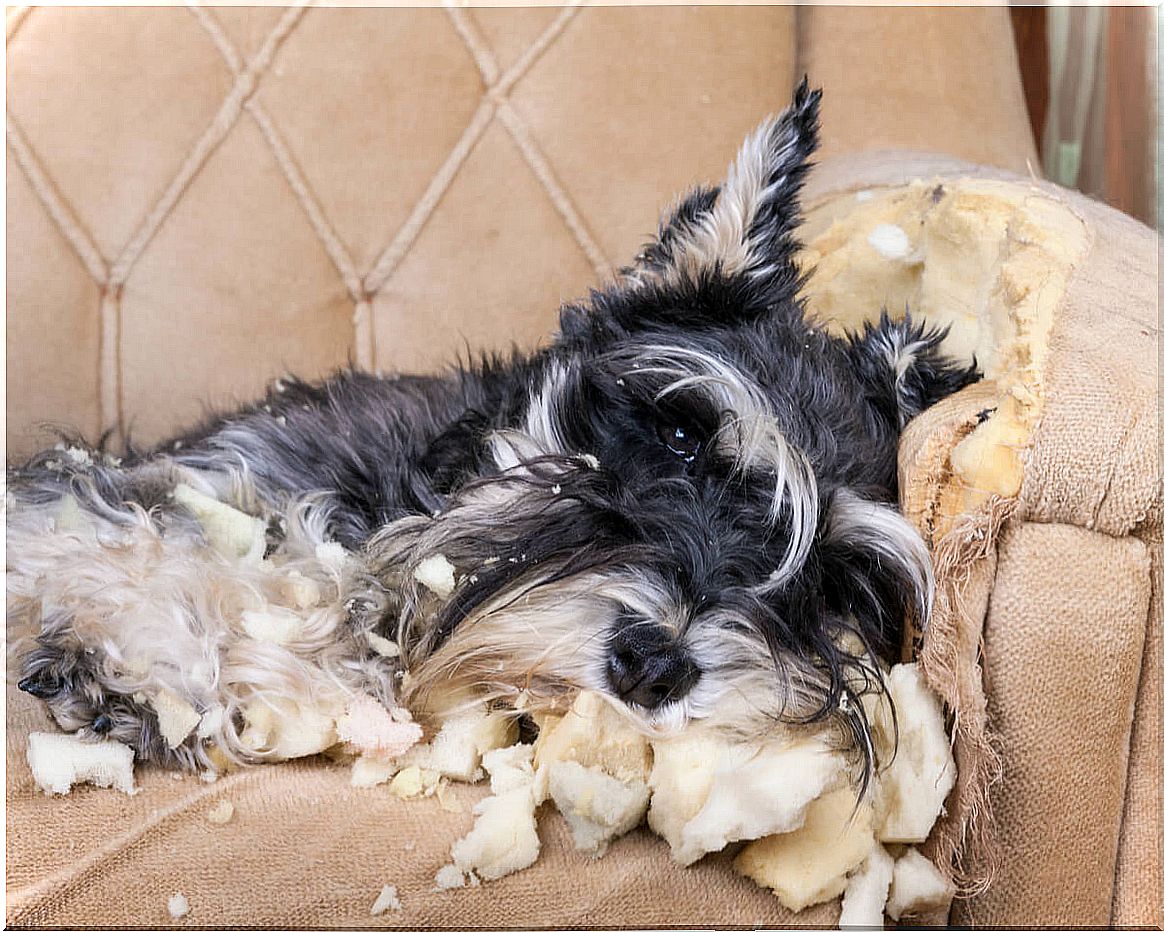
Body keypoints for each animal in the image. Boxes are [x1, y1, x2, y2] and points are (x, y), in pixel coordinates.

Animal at [6, 83, 973, 786]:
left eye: (837, 577)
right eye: (679, 432)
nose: (653, 665)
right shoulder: (205, 475)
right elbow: (157, 539)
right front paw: (153, 664)